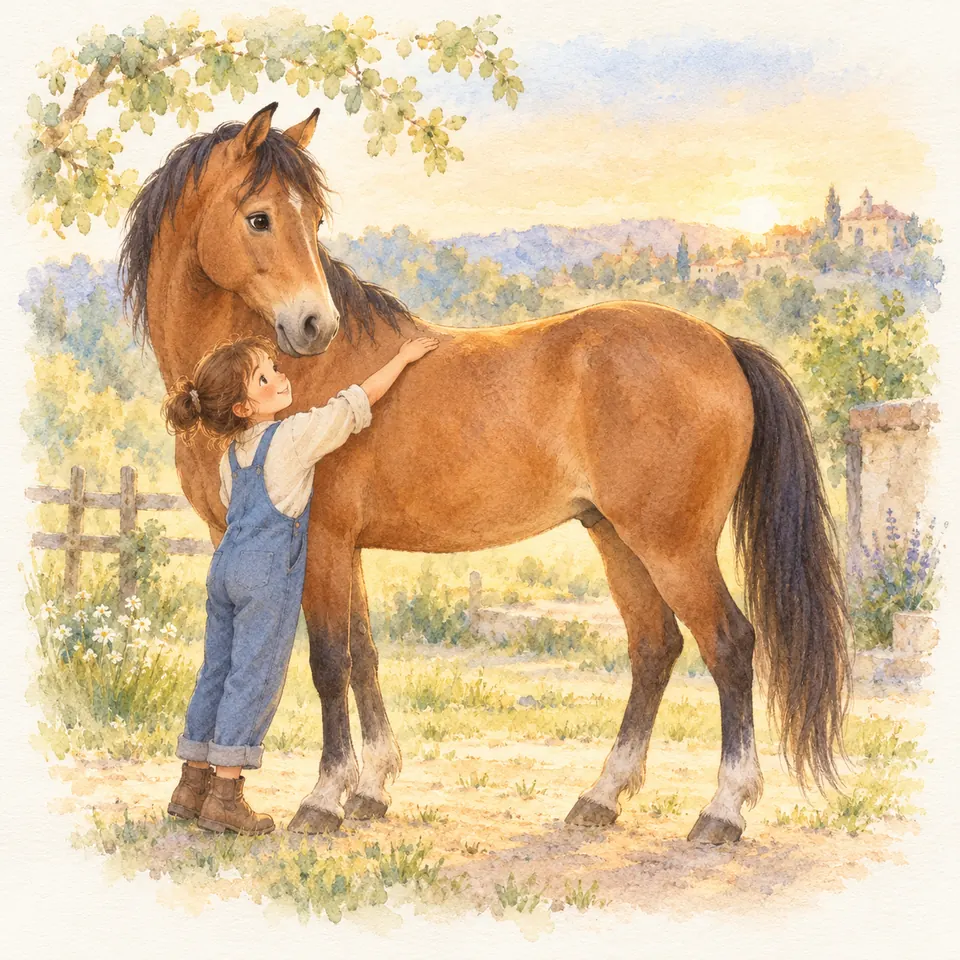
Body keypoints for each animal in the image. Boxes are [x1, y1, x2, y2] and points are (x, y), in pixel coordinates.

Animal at [120, 102, 849, 843]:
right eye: (260, 217)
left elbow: (329, 663)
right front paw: (371, 789)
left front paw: (324, 799)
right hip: (616, 536)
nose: (314, 325)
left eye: (313, 219)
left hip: (673, 545)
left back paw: (722, 810)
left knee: (728, 644)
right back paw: (600, 798)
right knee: (654, 647)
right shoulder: (333, 548)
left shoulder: (320, 542)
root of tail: (722, 342)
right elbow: (364, 658)